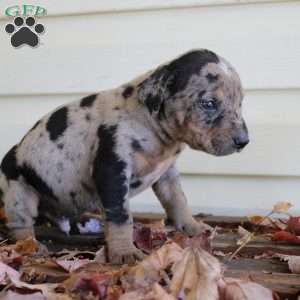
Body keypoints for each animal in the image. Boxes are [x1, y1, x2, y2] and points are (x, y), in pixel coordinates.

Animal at [0, 50, 248, 264]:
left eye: (240, 103)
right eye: (209, 103)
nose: (244, 141)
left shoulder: (167, 174)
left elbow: (178, 201)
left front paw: (193, 227)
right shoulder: (112, 170)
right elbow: (121, 217)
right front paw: (124, 252)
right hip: (18, 193)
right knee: (20, 225)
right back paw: (31, 245)